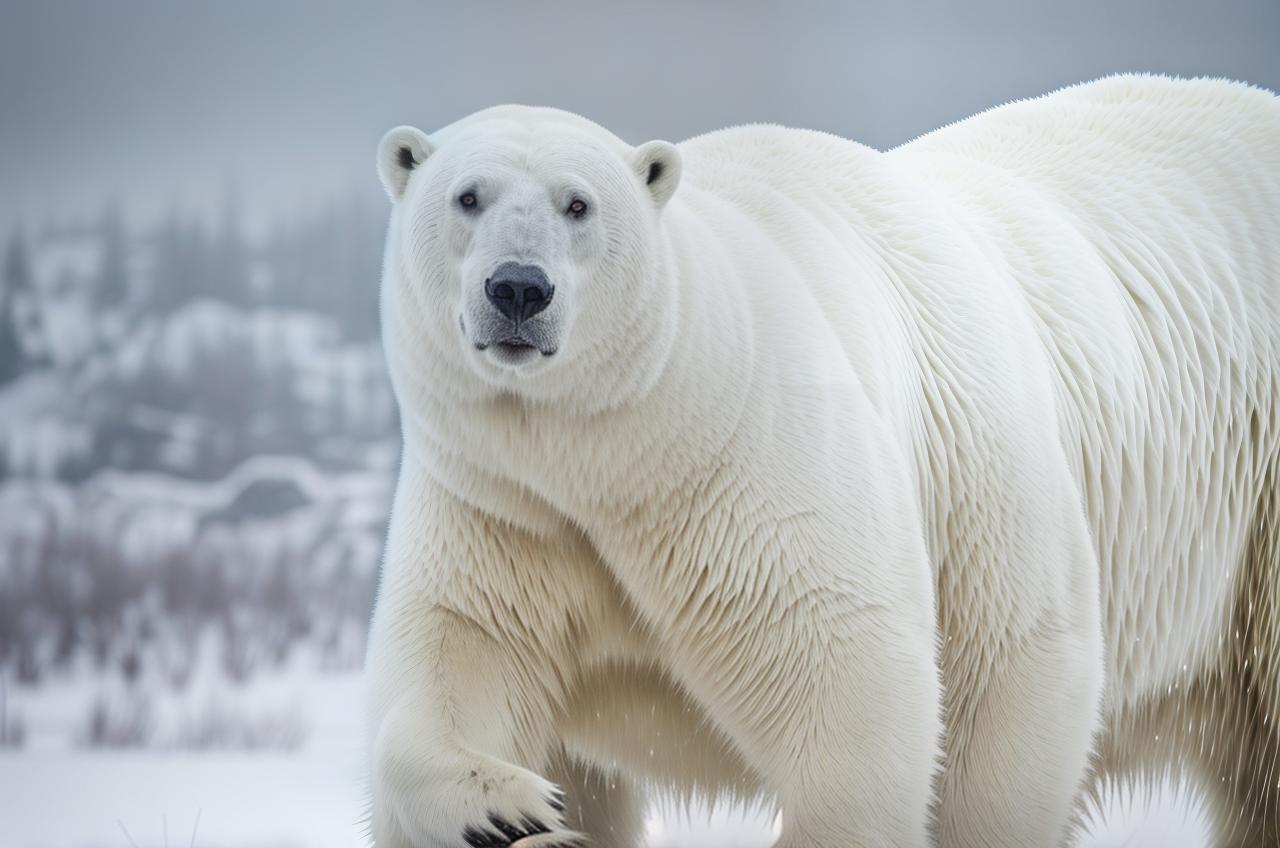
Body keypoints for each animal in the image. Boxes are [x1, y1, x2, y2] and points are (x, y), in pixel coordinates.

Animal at [363, 74, 1280, 848]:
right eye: (467, 195)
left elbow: (847, 674)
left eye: (578, 204)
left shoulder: (757, 465)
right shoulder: (505, 505)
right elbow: (455, 653)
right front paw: (513, 807)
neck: (624, 453)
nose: (518, 288)